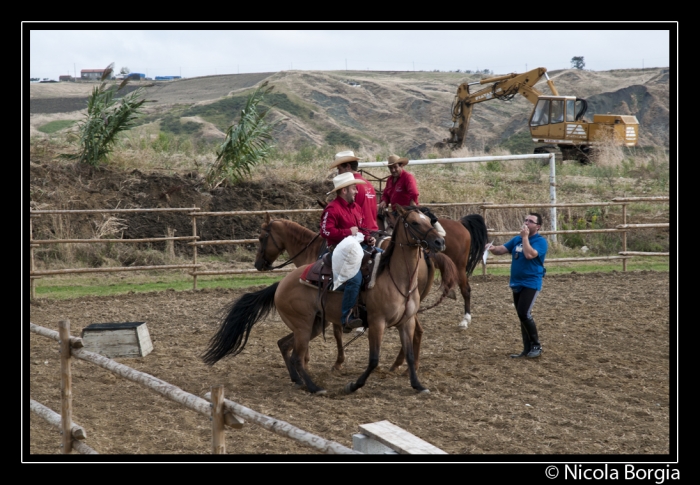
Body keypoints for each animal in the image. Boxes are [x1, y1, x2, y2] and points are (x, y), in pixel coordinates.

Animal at [202, 204, 454, 394]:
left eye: (429, 220)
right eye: (415, 223)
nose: (440, 243)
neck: (394, 277)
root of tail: (281, 284)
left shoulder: (405, 322)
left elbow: (409, 354)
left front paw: (417, 384)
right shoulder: (377, 323)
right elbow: (373, 359)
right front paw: (353, 384)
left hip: (311, 325)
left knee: (285, 345)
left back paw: (299, 380)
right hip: (304, 326)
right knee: (295, 354)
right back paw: (313, 386)